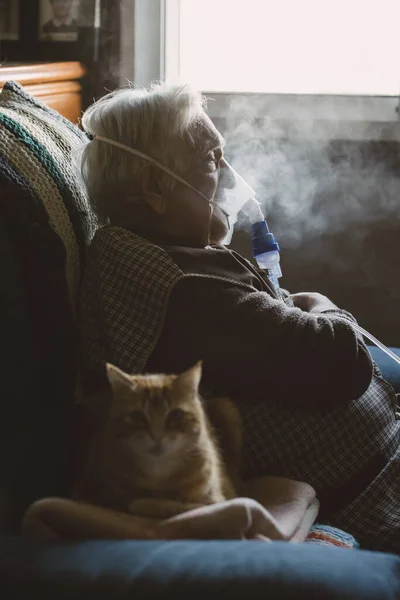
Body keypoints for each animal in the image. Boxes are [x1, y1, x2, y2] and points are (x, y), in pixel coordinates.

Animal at [72, 360, 241, 520]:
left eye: (175, 415)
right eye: (137, 416)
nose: (157, 436)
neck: (158, 474)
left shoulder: (218, 499)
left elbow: (177, 505)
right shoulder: (88, 488)